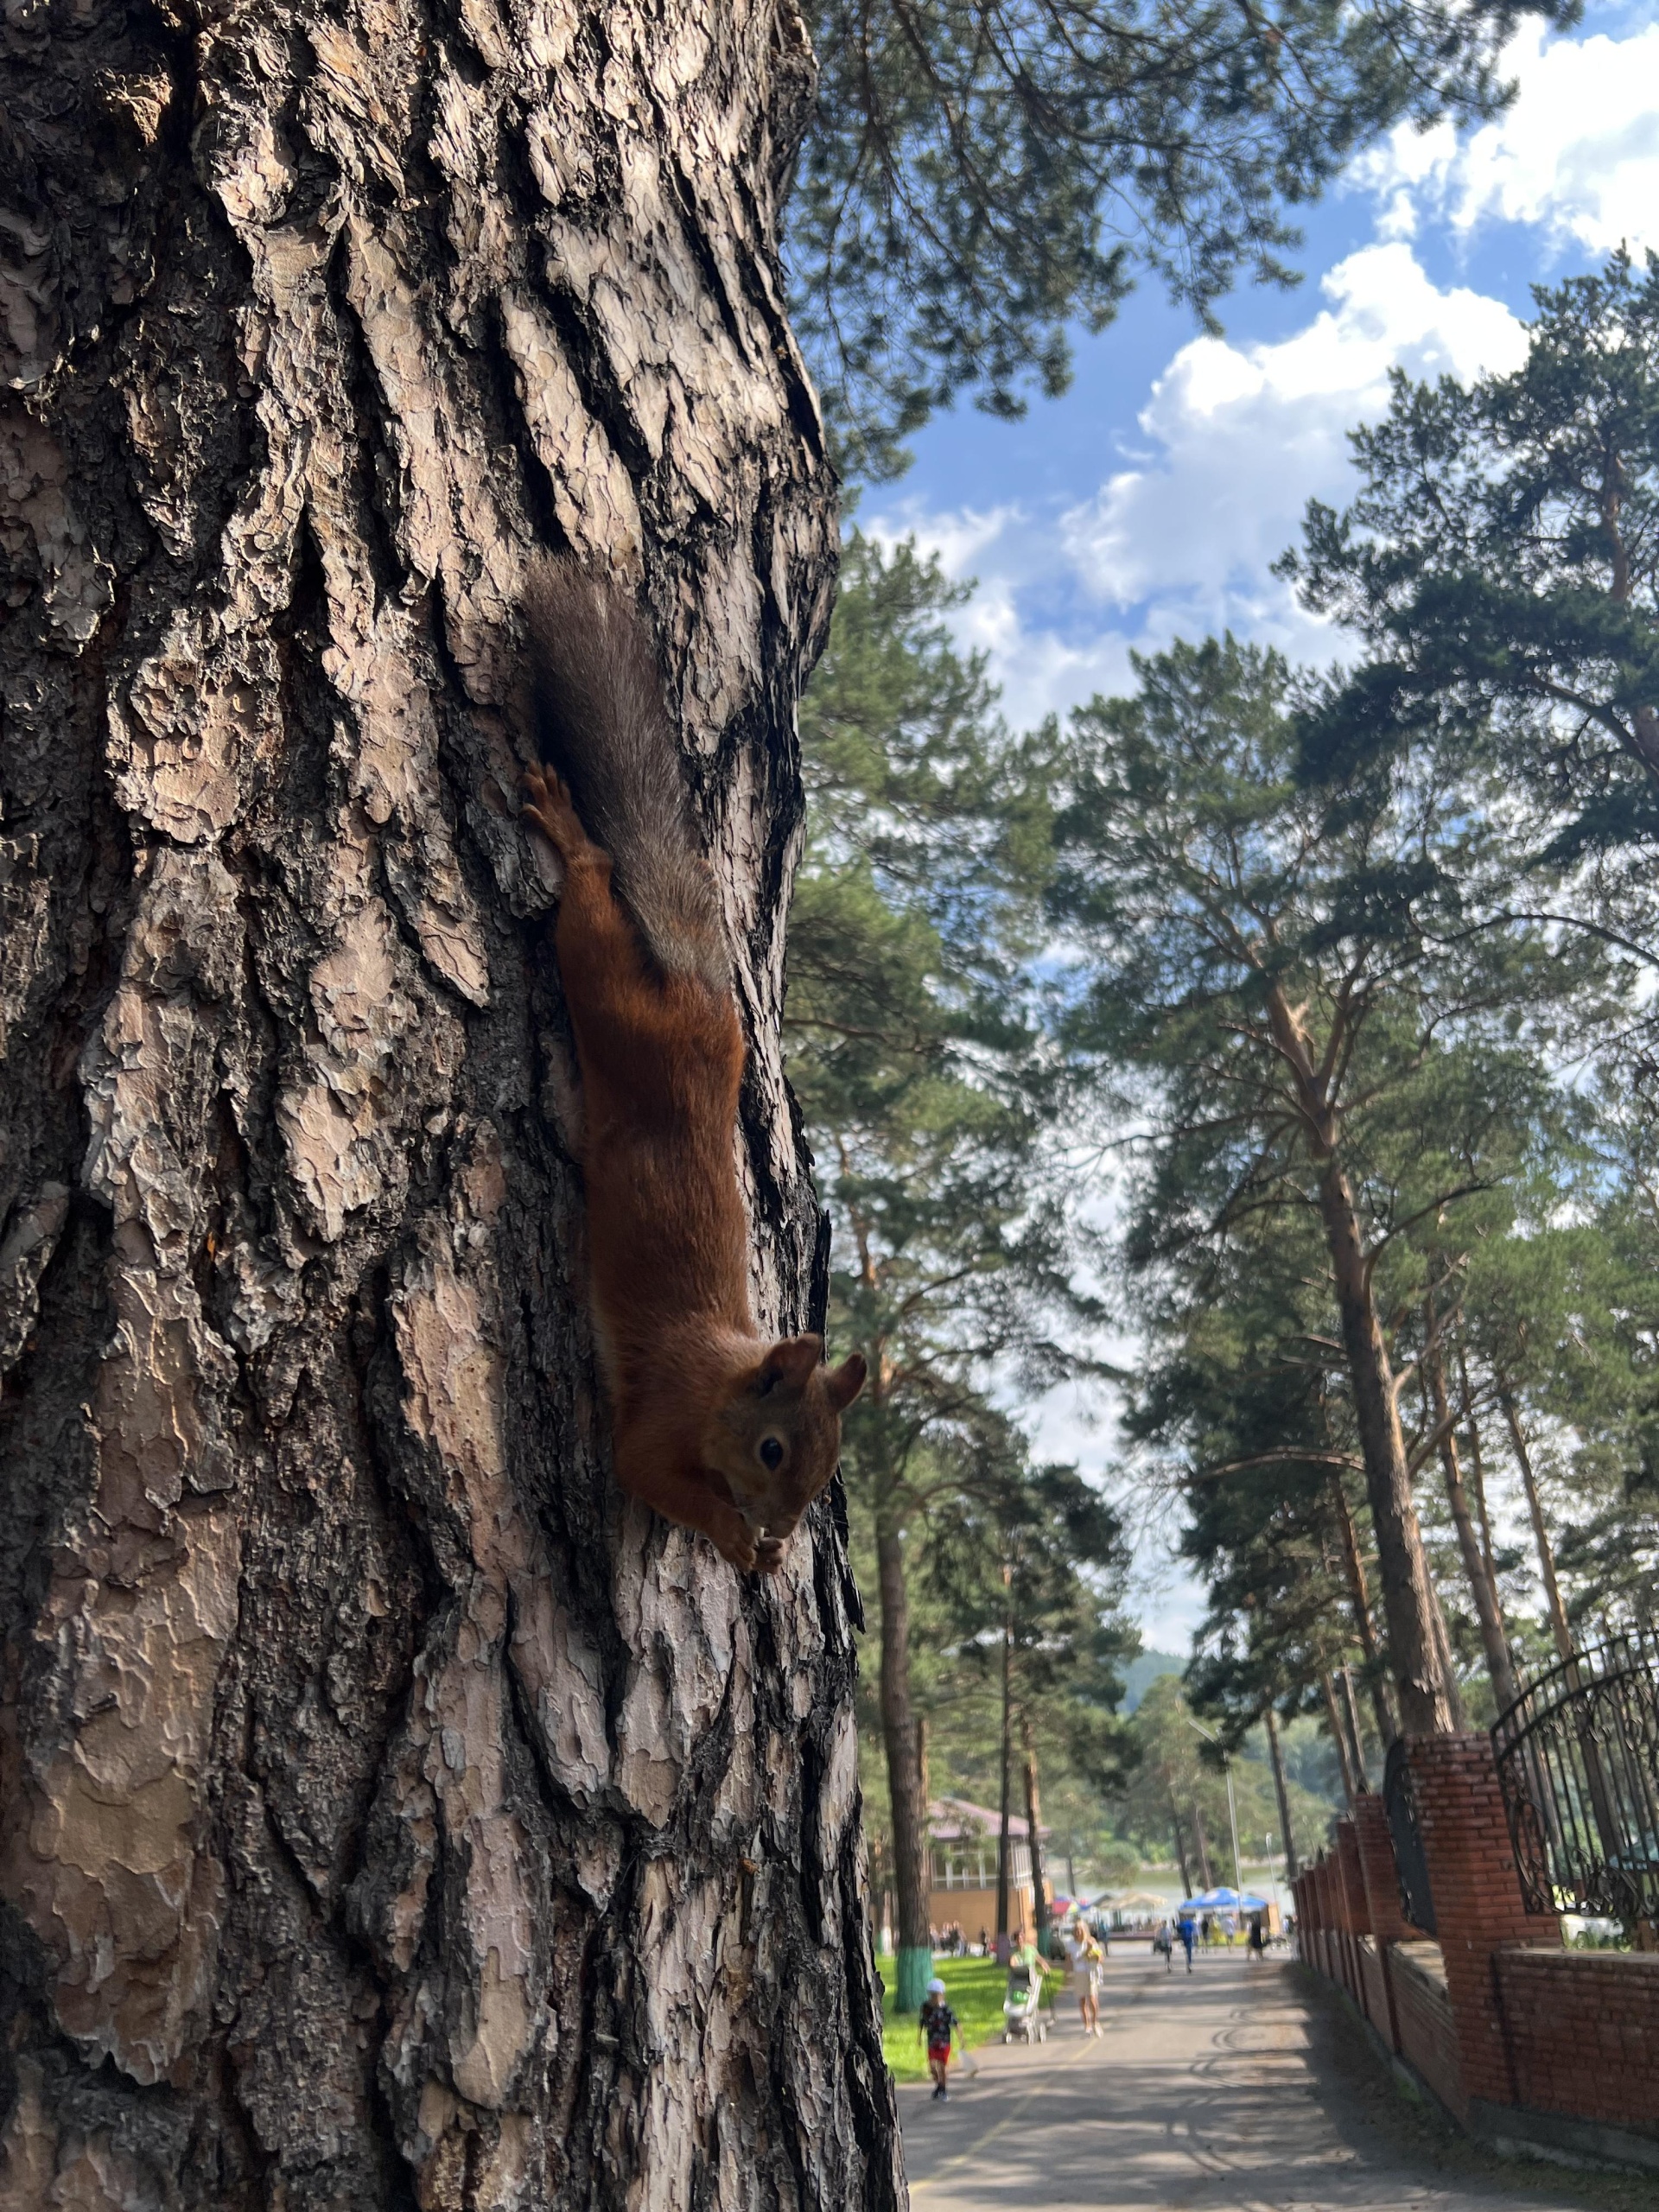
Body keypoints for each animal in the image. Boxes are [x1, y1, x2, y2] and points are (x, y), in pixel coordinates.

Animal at [522, 570, 871, 1574]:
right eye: (774, 1449)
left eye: (828, 1469)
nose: (786, 1529)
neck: (721, 1380)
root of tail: (697, 995)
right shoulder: (657, 1423)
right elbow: (646, 1472)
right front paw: (736, 1538)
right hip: (611, 1000)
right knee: (593, 899)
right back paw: (571, 836)